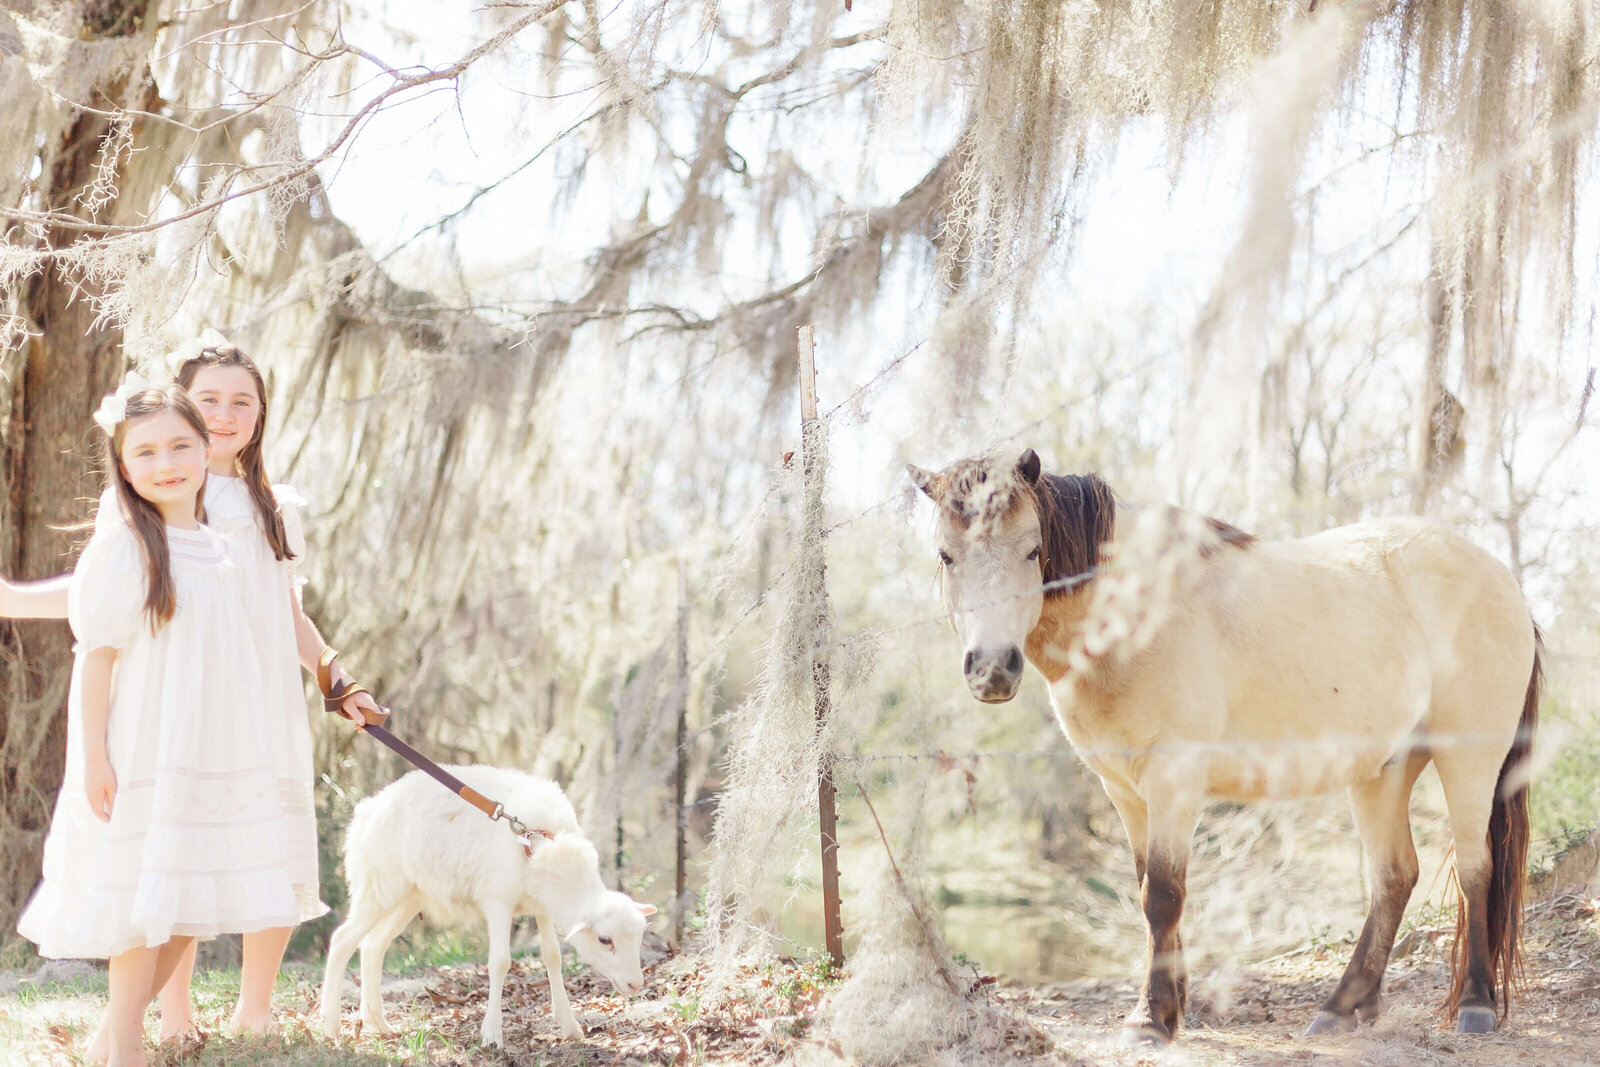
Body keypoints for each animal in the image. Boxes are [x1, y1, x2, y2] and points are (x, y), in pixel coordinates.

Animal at [321, 764, 652, 1049]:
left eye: (639, 938)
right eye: (605, 939)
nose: (636, 984)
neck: (543, 843)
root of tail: (367, 808)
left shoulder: (542, 907)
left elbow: (552, 956)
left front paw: (570, 1027)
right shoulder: (498, 901)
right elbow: (500, 962)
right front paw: (492, 1034)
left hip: (408, 895)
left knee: (372, 946)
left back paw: (377, 1023)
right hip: (376, 886)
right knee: (342, 941)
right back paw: (330, 1025)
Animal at [915, 447, 1536, 1043]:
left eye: (1032, 550)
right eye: (946, 556)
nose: (992, 669)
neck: (1134, 617)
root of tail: (1504, 581)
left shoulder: (1173, 780)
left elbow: (1163, 896)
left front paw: (1149, 1021)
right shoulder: (1126, 792)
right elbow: (1148, 892)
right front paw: (1169, 1011)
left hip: (1468, 759)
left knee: (1475, 869)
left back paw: (1475, 1006)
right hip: (1383, 770)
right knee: (1394, 877)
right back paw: (1342, 1009)